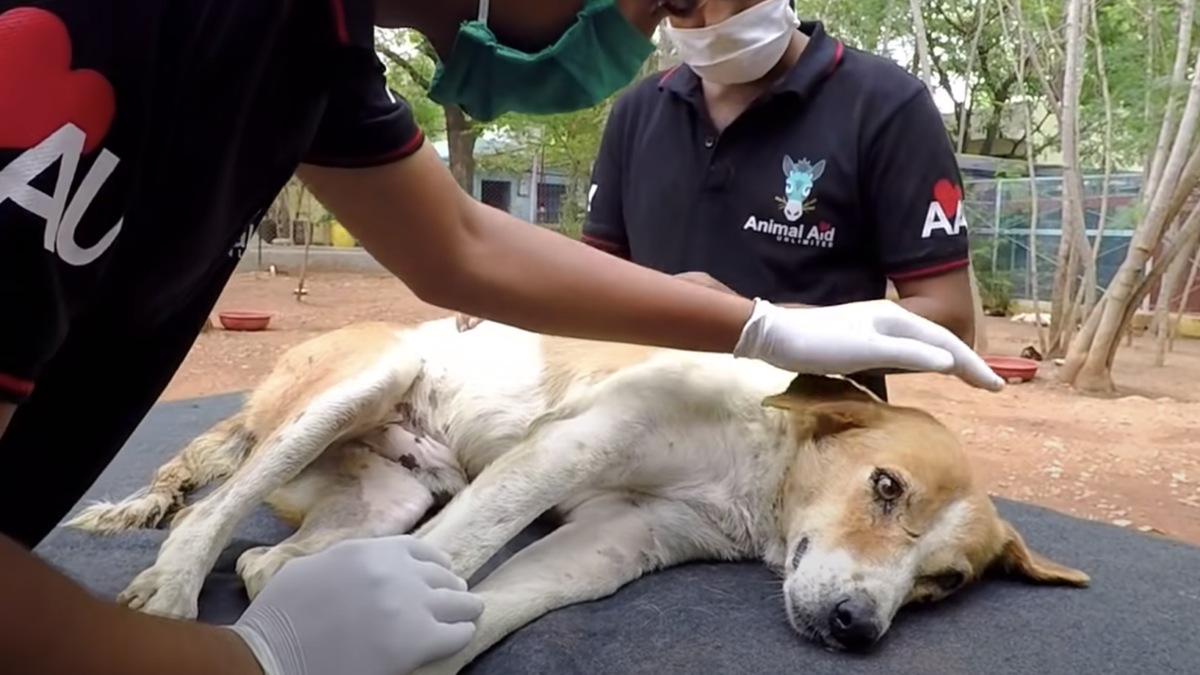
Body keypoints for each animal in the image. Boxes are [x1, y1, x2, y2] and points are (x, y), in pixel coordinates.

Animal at [70, 317, 1094, 667]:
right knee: (210, 513)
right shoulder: (573, 447)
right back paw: (175, 587)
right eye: (885, 486)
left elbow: (484, 606)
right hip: (364, 381)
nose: (858, 627)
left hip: (393, 491)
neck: (756, 468)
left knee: (265, 561)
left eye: (943, 583)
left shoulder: (611, 544)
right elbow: (453, 557)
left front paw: (395, 644)